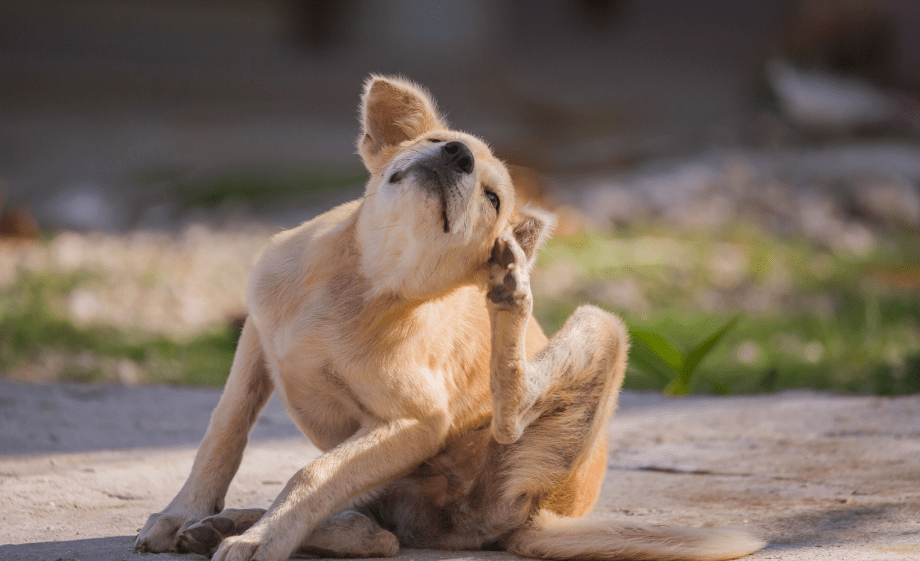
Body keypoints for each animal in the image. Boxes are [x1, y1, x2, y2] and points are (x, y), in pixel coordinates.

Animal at [135, 75, 768, 560]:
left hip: (595, 338)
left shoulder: (415, 421)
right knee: (378, 532)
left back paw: (511, 296)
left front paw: (261, 539)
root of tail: (536, 521)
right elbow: (223, 432)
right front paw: (183, 513)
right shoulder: (256, 341)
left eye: (492, 199)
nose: (456, 155)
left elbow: (310, 475)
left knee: (494, 430)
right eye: (441, 141)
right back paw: (229, 524)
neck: (360, 284)